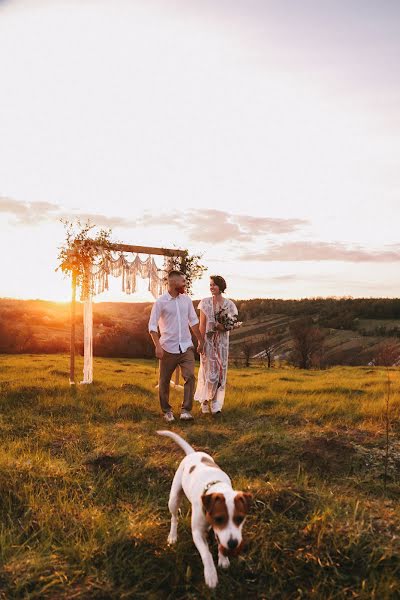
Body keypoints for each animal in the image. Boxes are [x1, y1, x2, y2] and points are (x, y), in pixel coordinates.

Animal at [158, 428, 252, 588]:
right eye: (219, 518)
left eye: (240, 518)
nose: (233, 544)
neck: (214, 486)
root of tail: (192, 453)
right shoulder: (197, 532)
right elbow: (206, 553)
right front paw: (211, 574)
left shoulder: (222, 532)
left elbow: (220, 540)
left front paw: (223, 559)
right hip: (174, 499)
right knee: (174, 517)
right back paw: (173, 535)